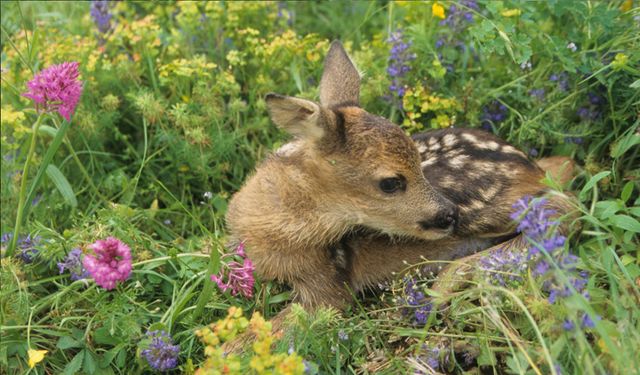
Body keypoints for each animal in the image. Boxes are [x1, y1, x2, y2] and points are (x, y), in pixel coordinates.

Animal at [224, 40, 576, 350]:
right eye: (391, 182)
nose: (448, 214)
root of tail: (529, 167)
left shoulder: (328, 284)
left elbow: (258, 336)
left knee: (563, 207)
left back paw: (445, 284)